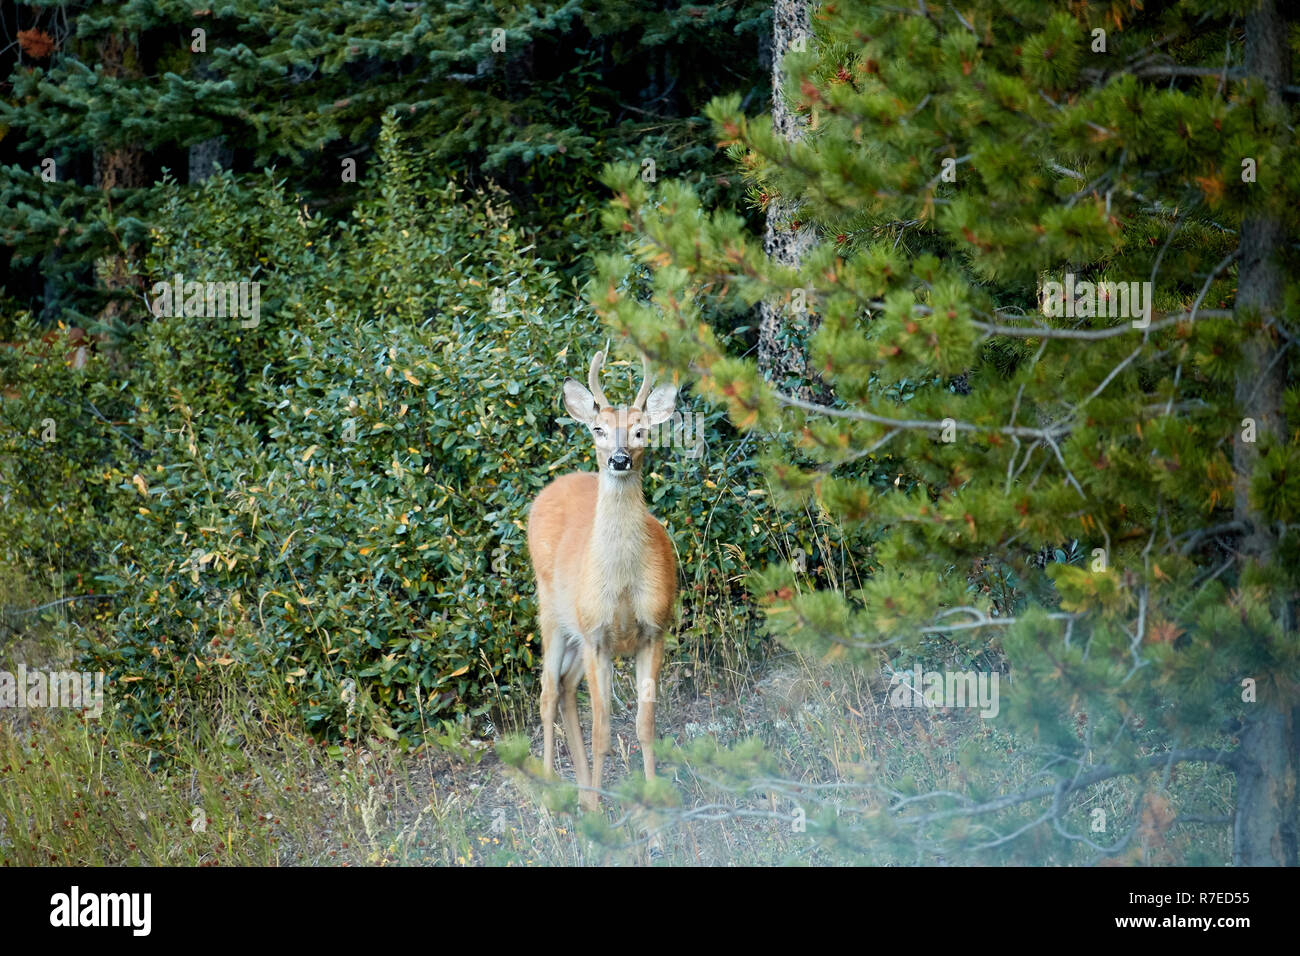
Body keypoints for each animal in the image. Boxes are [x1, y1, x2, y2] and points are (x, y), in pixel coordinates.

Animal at [526, 348, 678, 812]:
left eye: (641, 430)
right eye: (599, 429)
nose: (619, 459)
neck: (622, 585)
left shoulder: (654, 630)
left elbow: (645, 725)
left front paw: (652, 806)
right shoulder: (597, 635)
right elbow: (603, 732)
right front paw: (598, 811)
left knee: (565, 686)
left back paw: (581, 790)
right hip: (552, 610)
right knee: (547, 693)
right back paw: (550, 795)